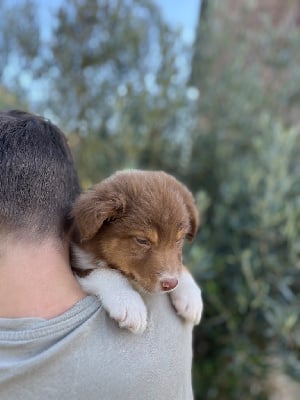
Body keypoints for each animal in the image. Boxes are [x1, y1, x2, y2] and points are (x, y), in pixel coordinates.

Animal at [71, 170, 203, 332]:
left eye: (179, 240)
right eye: (142, 240)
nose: (170, 284)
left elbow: (180, 266)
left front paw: (191, 295)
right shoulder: (77, 262)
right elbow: (105, 272)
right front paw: (128, 302)